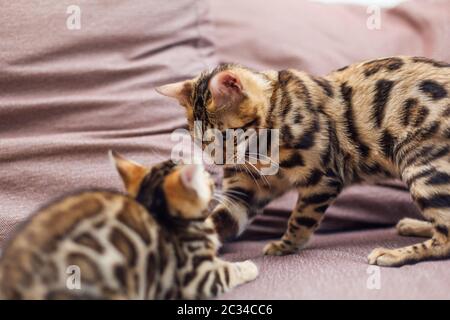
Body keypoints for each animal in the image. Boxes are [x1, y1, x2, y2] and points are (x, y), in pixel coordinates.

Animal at [157, 55, 450, 268]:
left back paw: (395, 253)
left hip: (422, 165)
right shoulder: (245, 190)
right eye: (201, 142)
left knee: (446, 235)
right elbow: (216, 222)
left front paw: (286, 246)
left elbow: (300, 219)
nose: (219, 163)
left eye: (224, 136)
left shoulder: (322, 179)